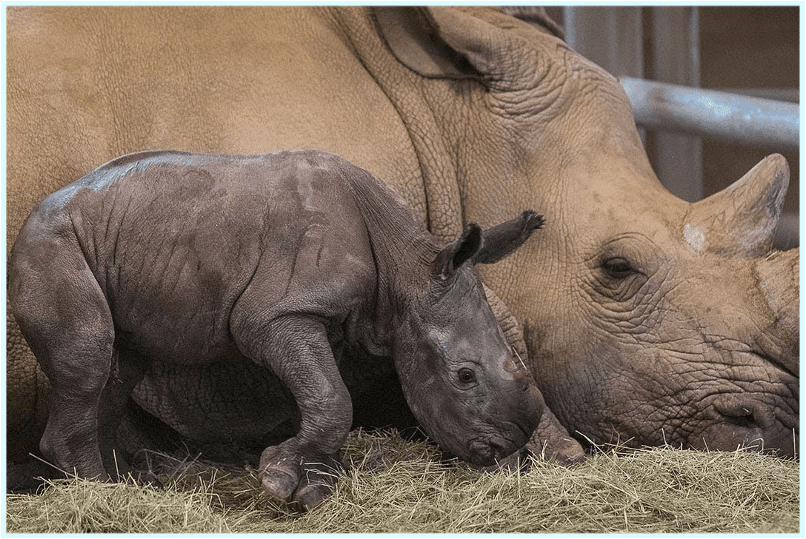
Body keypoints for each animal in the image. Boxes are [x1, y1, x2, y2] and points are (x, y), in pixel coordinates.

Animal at [9, 149, 548, 510]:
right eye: (464, 377)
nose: (505, 446)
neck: (408, 269)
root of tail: (35, 212)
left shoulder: (316, 319)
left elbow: (322, 395)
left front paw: (313, 485)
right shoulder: (277, 314)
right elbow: (333, 397)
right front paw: (283, 482)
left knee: (120, 368)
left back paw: (129, 486)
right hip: (51, 244)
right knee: (89, 356)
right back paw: (100, 493)